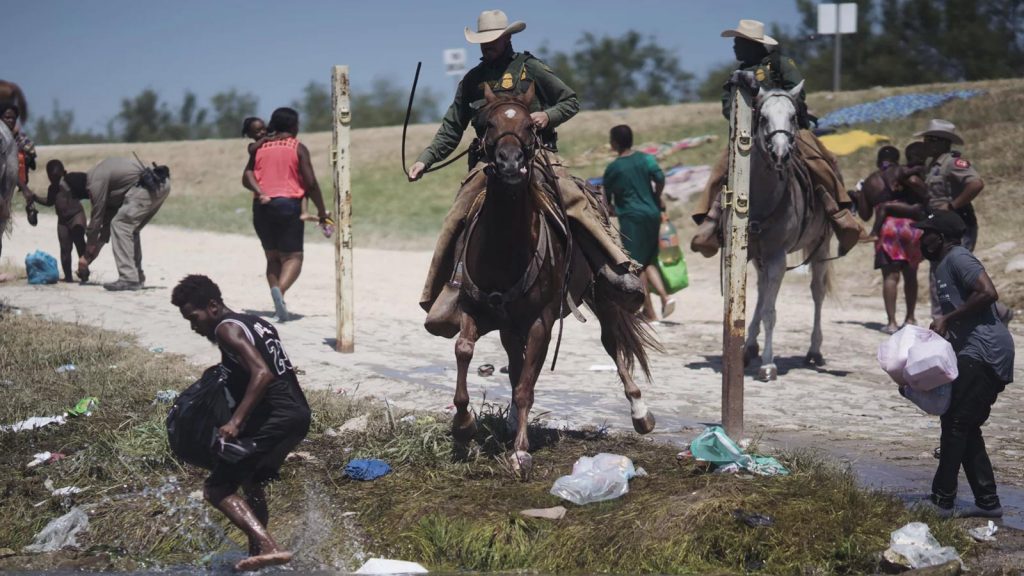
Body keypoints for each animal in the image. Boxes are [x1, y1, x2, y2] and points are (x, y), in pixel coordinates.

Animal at [450, 80, 659, 475]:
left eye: (530, 126)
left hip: (602, 296)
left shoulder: (541, 322)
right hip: (509, 324)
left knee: (613, 343)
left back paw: (641, 413)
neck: (505, 248)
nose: (510, 162)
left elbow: (526, 387)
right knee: (514, 363)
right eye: (487, 124)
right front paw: (463, 426)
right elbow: (466, 350)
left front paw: (520, 453)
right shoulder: (475, 308)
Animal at [745, 78, 831, 379]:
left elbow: (770, 312)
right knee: (761, 290)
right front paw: (750, 348)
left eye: (794, 117)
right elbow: (759, 301)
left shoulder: (777, 257)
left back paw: (814, 351)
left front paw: (768, 364)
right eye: (762, 117)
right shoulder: (752, 254)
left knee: (817, 292)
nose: (780, 153)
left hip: (821, 246)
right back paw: (749, 345)